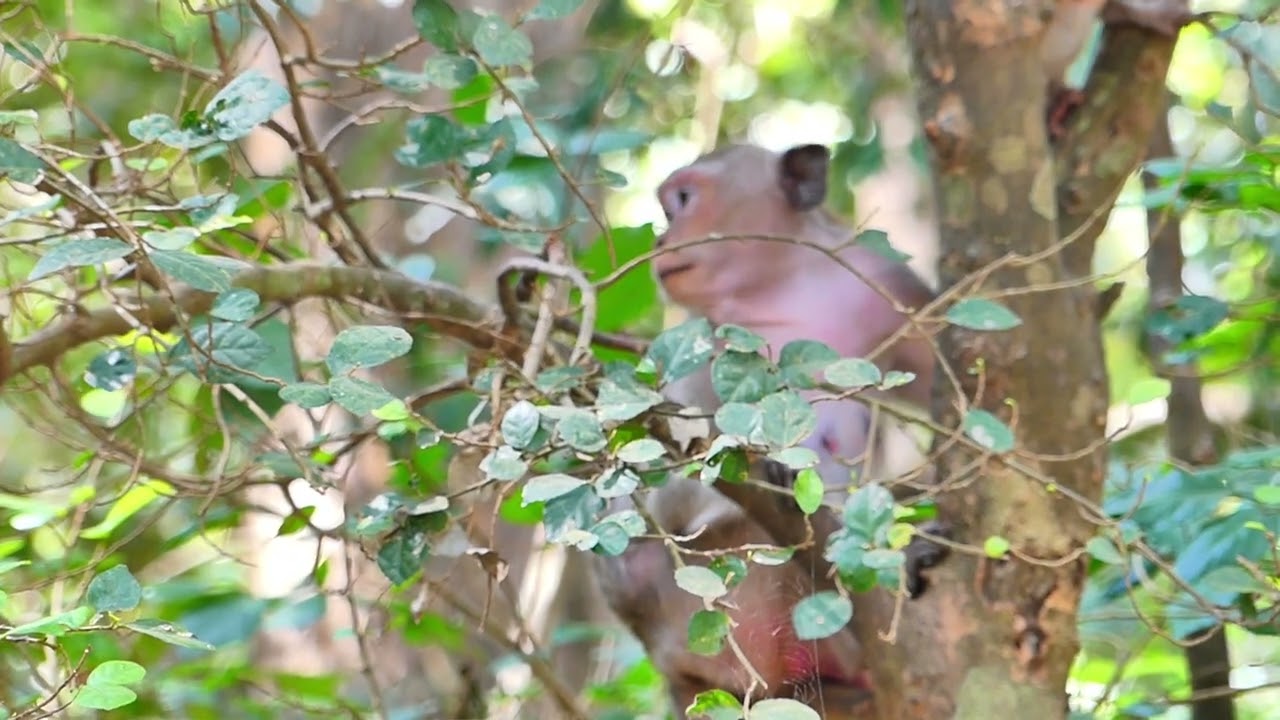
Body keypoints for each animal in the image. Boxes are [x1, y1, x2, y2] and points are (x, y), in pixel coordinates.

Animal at [596, 143, 941, 719]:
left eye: (682, 200)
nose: (662, 240)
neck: (785, 290)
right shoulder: (710, 346)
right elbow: (670, 483)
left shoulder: (887, 285)